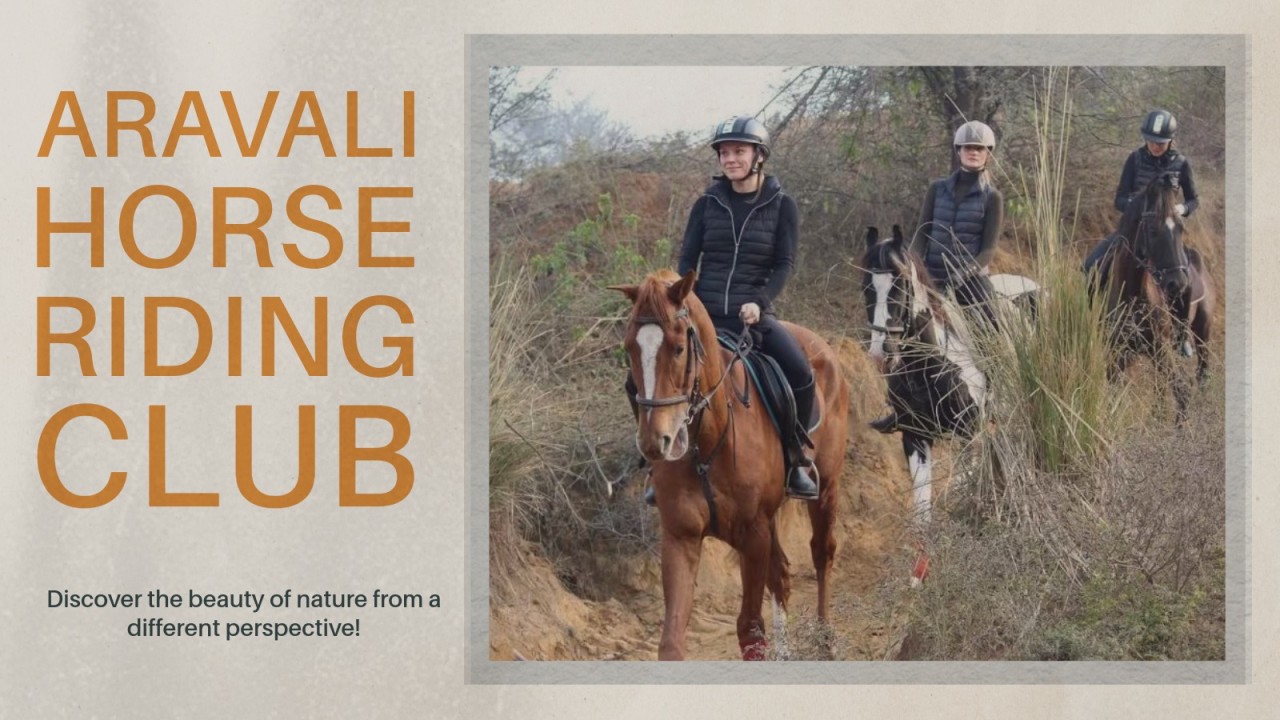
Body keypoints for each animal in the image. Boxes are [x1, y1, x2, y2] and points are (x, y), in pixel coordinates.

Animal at [611, 269, 849, 660]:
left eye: (679, 348)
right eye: (630, 348)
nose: (656, 443)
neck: (706, 443)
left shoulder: (752, 535)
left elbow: (750, 629)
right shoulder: (681, 536)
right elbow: (671, 642)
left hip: (826, 487)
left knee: (821, 553)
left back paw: (826, 639)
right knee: (782, 574)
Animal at [1096, 173, 1215, 413]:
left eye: (1180, 229)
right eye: (1152, 230)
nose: (1177, 283)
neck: (1131, 294)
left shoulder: (1161, 348)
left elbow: (1182, 394)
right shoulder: (1117, 351)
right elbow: (1115, 396)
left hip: (1202, 332)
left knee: (1202, 375)